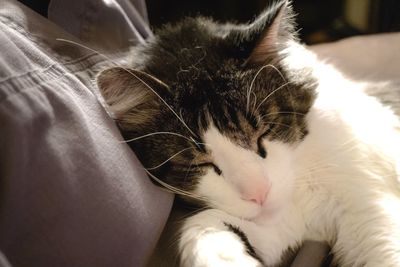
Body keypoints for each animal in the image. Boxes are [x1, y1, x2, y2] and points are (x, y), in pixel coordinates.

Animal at [96, 1, 400, 266]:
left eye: (264, 132)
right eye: (199, 163)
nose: (260, 194)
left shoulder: (367, 206)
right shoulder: (282, 223)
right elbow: (203, 225)